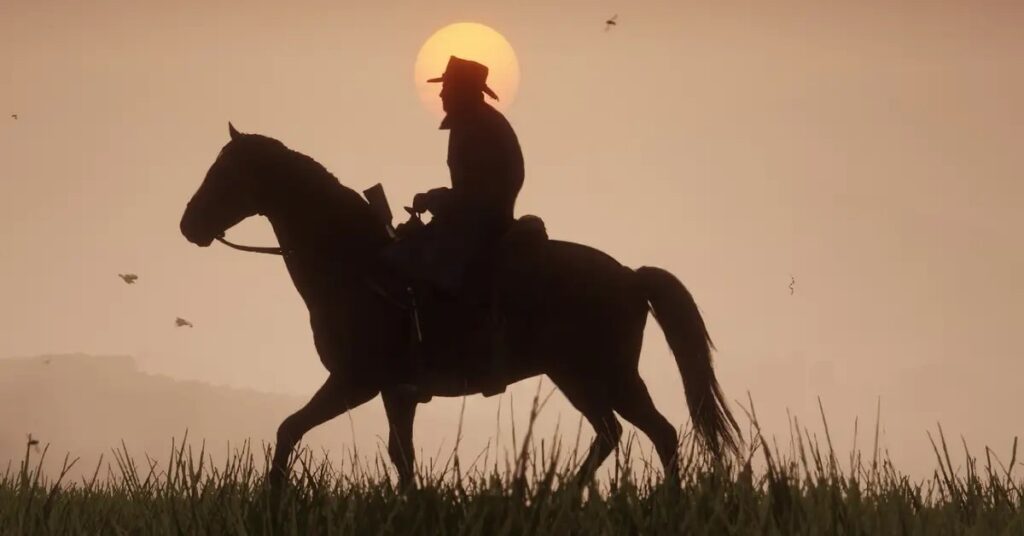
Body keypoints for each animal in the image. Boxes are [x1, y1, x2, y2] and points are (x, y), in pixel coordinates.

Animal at [180, 122, 741, 489]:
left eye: (226, 174)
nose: (189, 225)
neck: (353, 264)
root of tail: (629, 275)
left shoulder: (355, 382)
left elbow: (289, 429)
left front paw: (274, 498)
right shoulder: (396, 391)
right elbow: (401, 457)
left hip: (607, 374)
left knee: (660, 433)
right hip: (579, 378)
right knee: (612, 433)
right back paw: (560, 494)